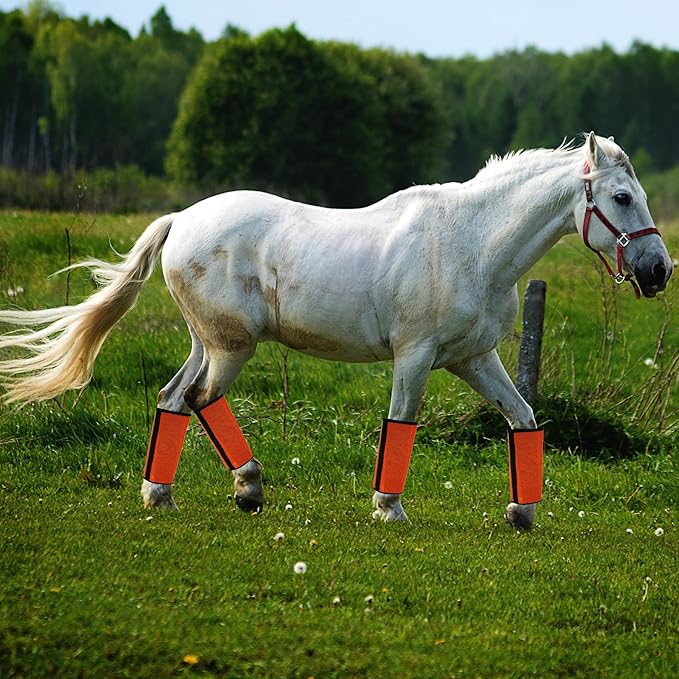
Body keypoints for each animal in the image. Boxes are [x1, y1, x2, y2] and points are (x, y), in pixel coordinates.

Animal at [0, 133, 673, 529]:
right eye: (620, 197)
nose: (658, 271)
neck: (474, 244)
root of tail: (182, 219)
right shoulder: (416, 356)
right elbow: (402, 423)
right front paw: (389, 509)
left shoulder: (474, 358)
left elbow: (523, 418)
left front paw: (522, 510)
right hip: (231, 347)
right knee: (201, 398)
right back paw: (248, 490)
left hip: (207, 341)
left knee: (174, 399)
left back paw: (158, 495)